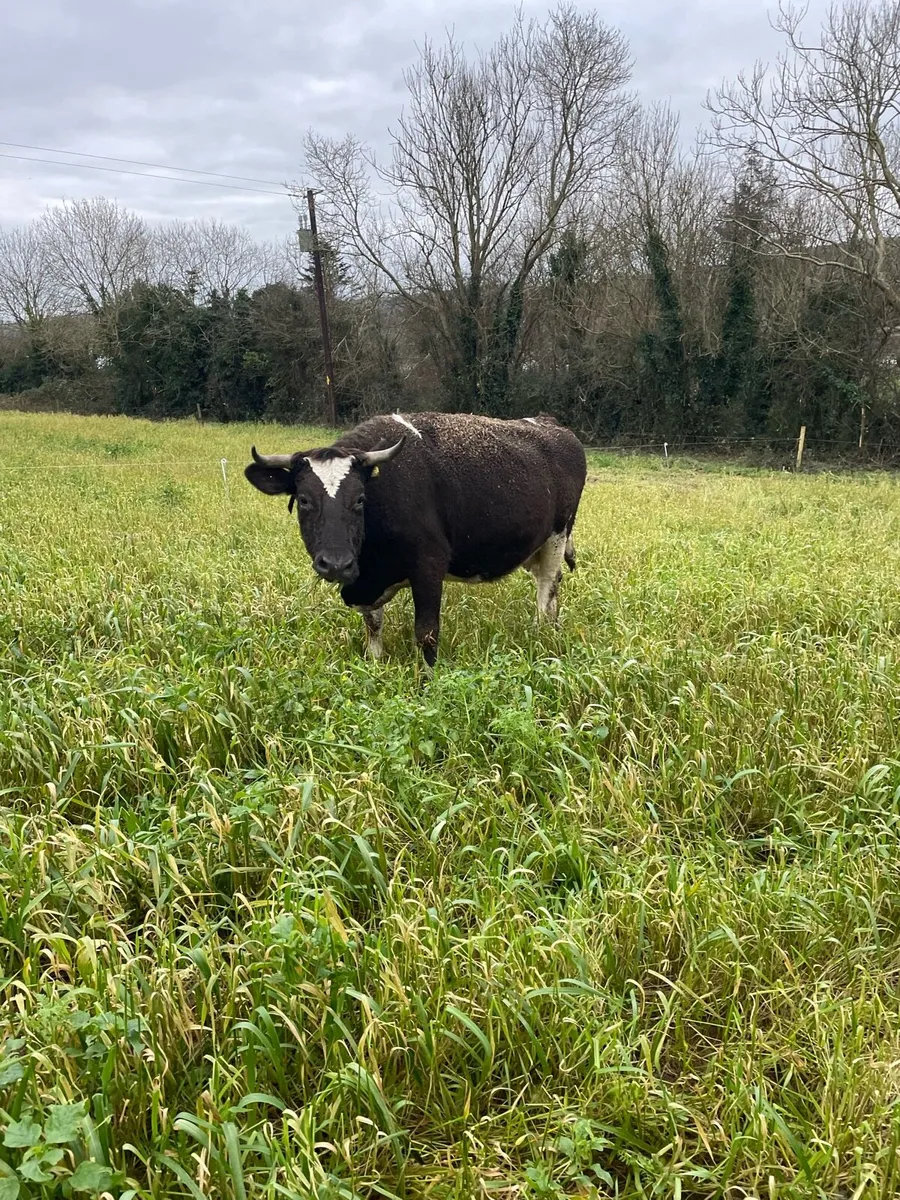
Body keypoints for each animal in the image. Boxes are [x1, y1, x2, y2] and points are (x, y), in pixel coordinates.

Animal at [244, 411, 587, 669]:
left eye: (360, 499)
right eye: (303, 500)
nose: (336, 564)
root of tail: (550, 423)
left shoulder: (429, 565)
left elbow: (426, 633)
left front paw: (427, 683)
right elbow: (373, 624)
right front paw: (374, 663)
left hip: (558, 535)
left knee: (547, 587)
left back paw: (540, 634)